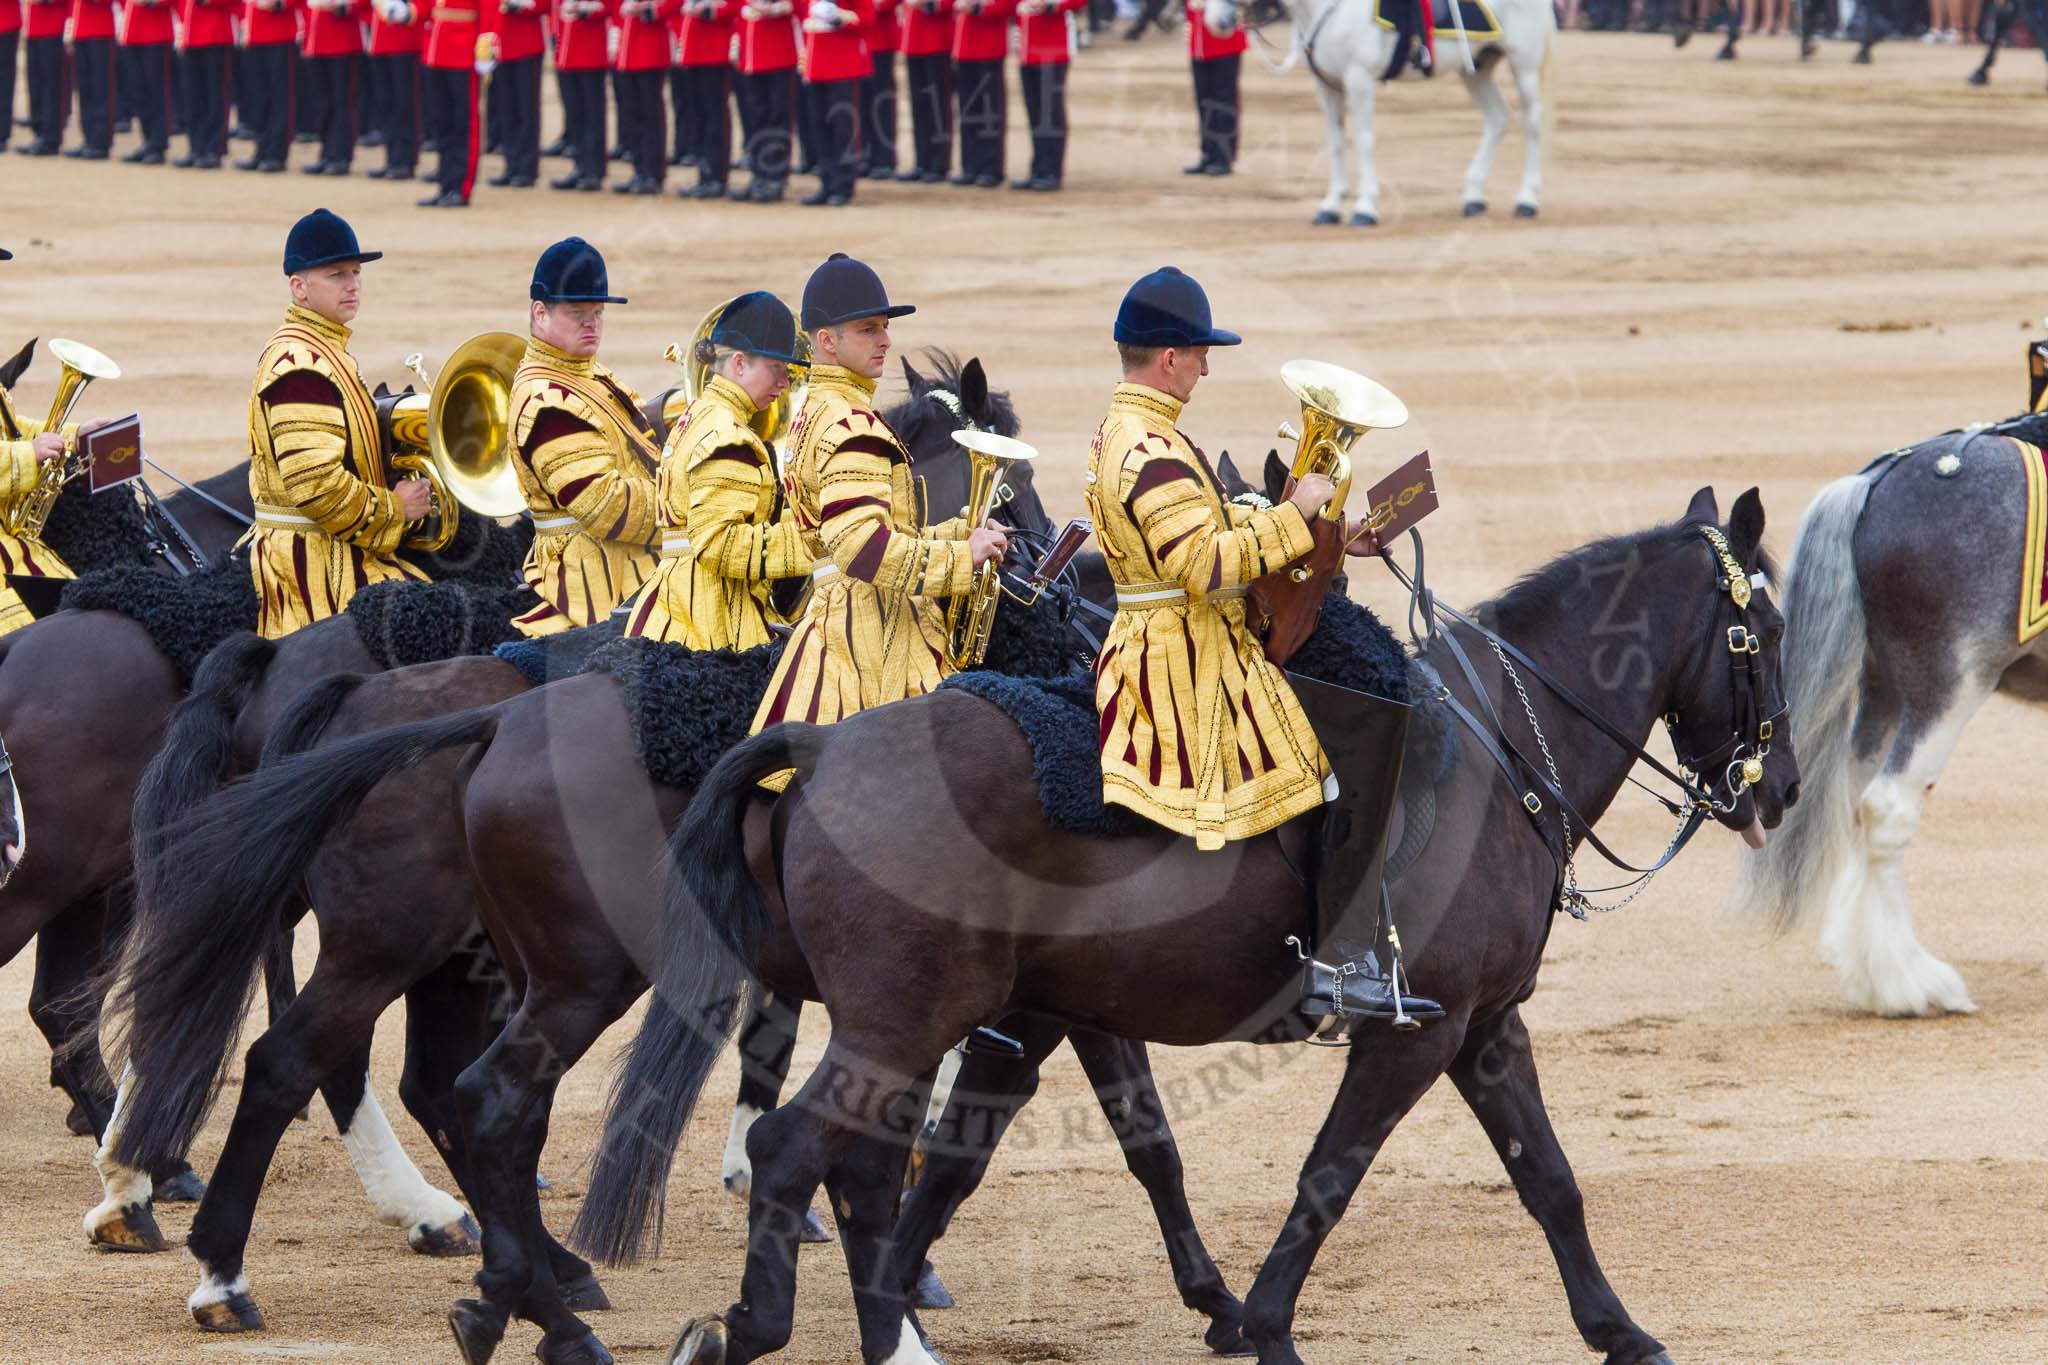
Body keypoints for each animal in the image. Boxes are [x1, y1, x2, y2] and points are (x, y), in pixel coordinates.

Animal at [575, 489, 1798, 1365]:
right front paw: (1263, 1328)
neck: (1499, 753)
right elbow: (1326, 1175)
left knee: (862, 1170)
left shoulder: (1485, 1026)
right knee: (795, 1152)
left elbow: (1549, 1179)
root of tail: (825, 745)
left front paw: (1620, 1332)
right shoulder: (1415, 1032)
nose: (1778, 786)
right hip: (897, 1025)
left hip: (909, 1027)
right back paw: (754, 1327)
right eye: (1762, 631)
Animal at [1202, 0, 1554, 225]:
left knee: (1532, 123)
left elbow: (1363, 140)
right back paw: (1473, 195)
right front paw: (1331, 206)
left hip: (1523, 64)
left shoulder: (1359, 79)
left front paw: (1365, 207)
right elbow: (1336, 143)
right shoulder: (1326, 86)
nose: (1215, 21)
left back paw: (1527, 199)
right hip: (1476, 68)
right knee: (1498, 118)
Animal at [1733, 417, 2048, 1016]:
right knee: (1887, 807)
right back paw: (1911, 983)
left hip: (1884, 691)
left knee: (1859, 803)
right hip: (1948, 690)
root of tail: (1876, 482)